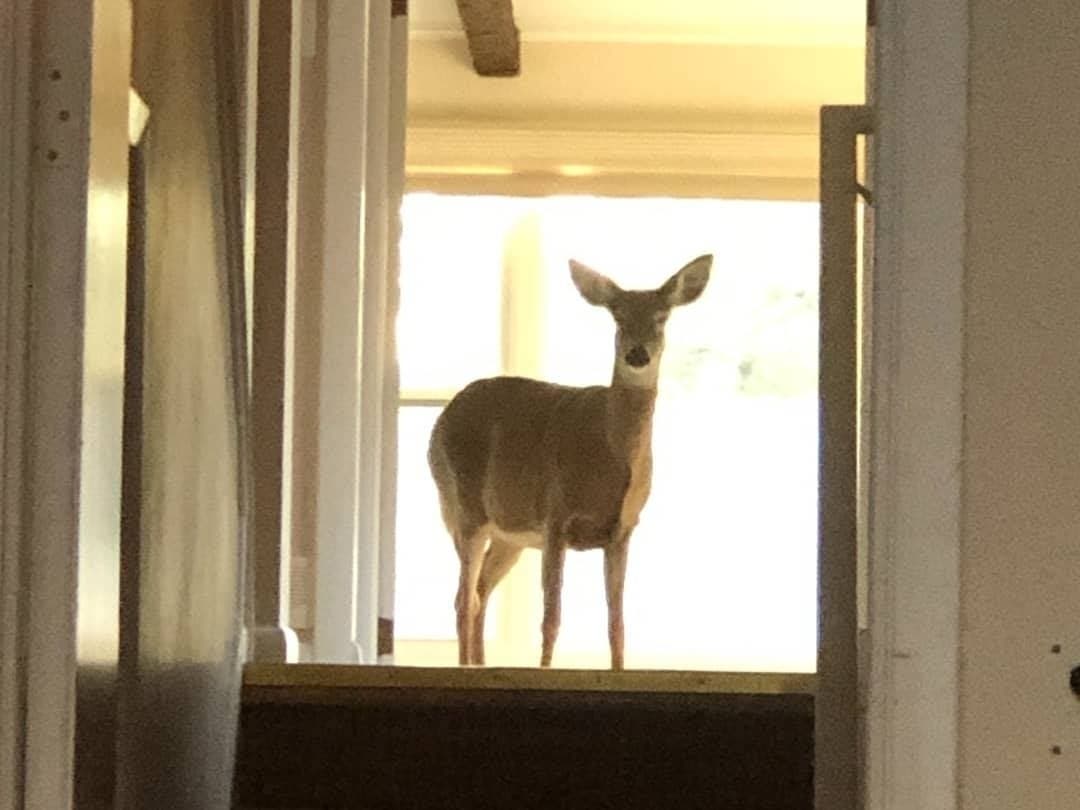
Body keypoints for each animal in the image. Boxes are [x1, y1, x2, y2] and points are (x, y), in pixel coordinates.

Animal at [427, 254, 713, 670]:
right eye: (617, 315)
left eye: (662, 317)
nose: (637, 354)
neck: (610, 455)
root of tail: (439, 424)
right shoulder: (555, 514)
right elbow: (552, 616)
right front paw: (544, 669)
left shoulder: (623, 529)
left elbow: (617, 622)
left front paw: (618, 670)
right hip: (465, 505)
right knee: (465, 599)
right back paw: (467, 667)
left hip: (509, 535)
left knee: (480, 591)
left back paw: (480, 662)